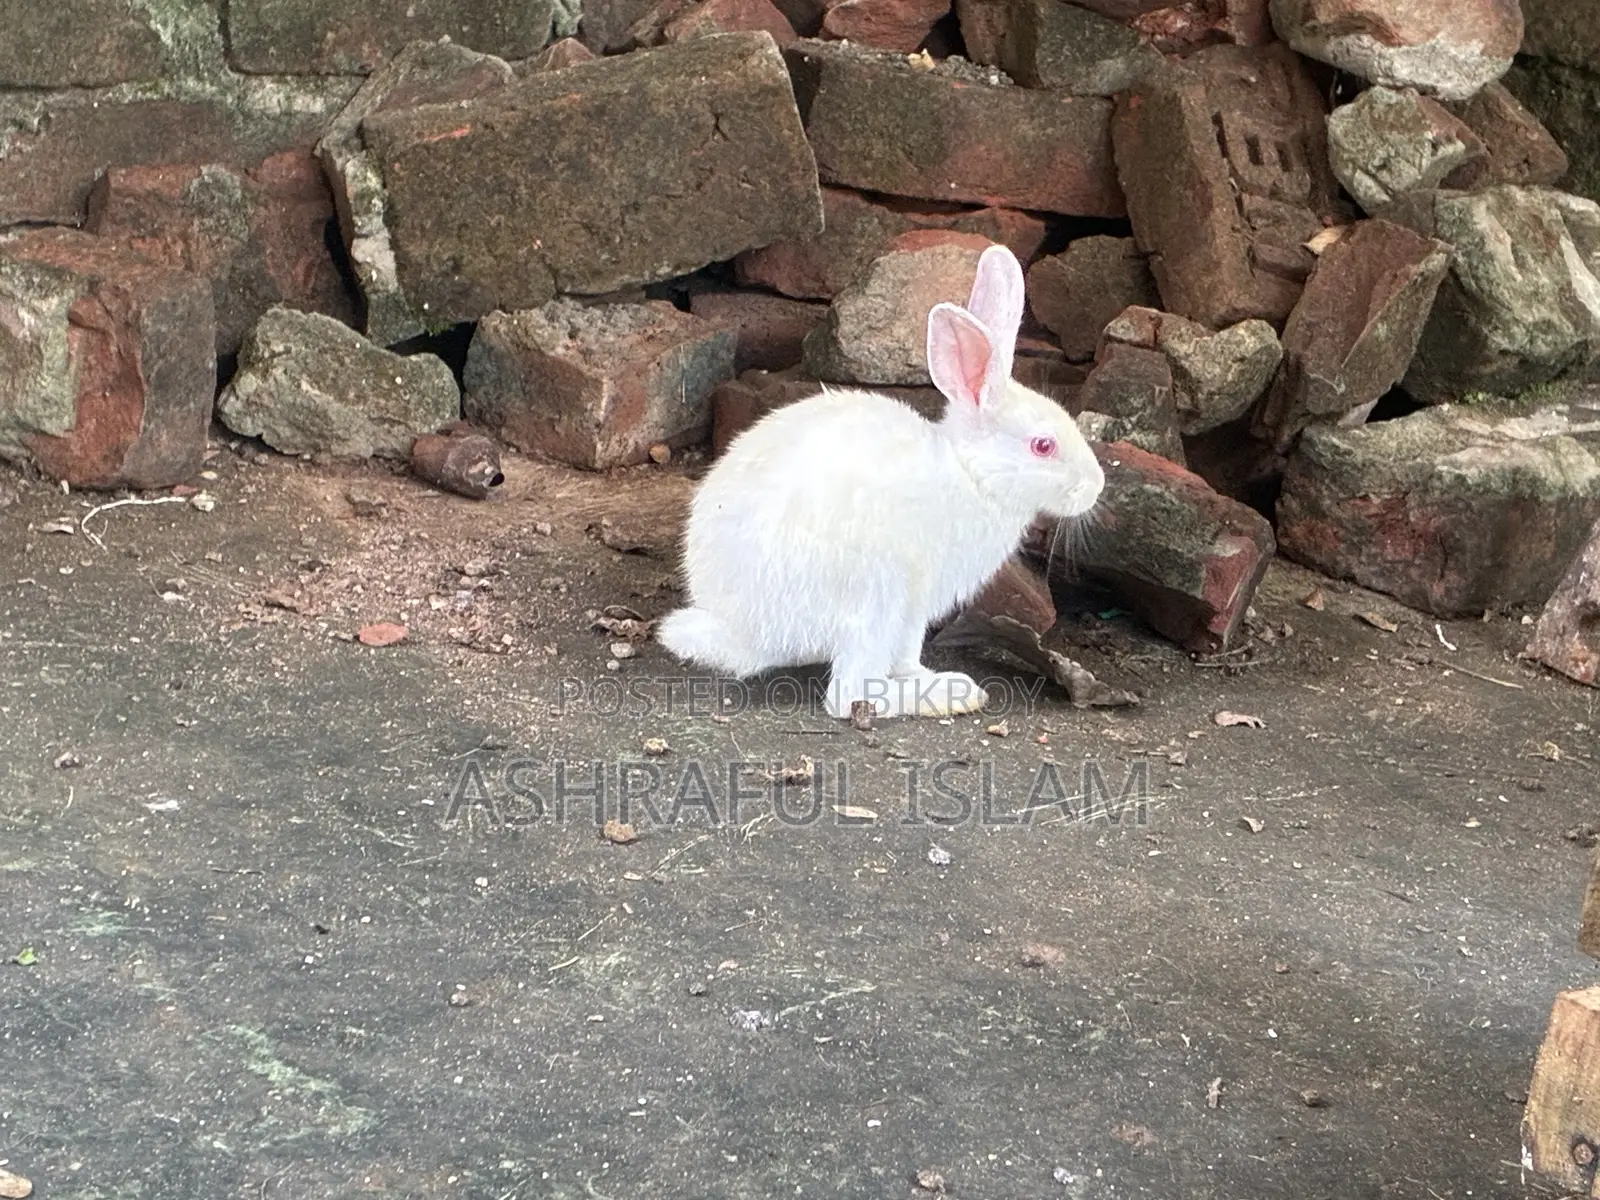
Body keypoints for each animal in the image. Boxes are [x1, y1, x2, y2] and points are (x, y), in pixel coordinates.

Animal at [657, 243, 1105, 720]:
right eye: (1043, 446)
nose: (1095, 486)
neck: (970, 473)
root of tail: (743, 633)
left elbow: (906, 656)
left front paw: (919, 674)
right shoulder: (915, 597)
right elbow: (900, 653)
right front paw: (932, 684)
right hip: (872, 597)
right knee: (848, 695)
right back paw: (950, 694)